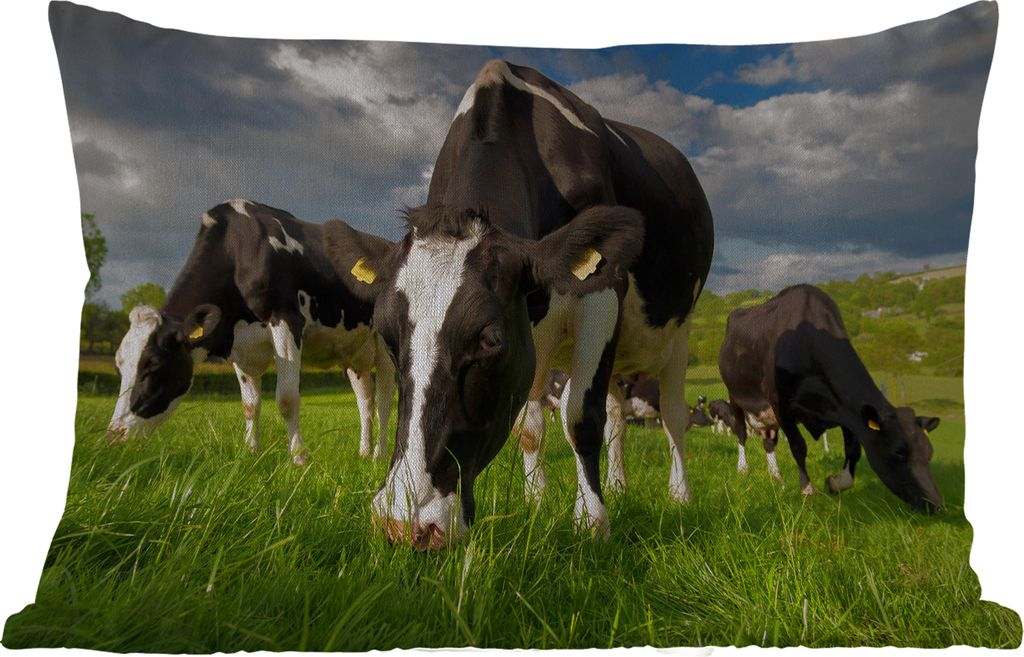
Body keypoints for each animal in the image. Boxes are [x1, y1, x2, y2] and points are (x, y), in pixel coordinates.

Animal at [107, 200, 395, 464]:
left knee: (384, 400)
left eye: (154, 365)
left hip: (384, 346)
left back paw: (379, 456)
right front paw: (251, 453)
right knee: (365, 400)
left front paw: (299, 459)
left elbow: (287, 399)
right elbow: (250, 405)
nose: (115, 434)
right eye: (119, 367)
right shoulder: (240, 347)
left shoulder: (287, 322)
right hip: (354, 352)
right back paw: (364, 452)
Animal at [323, 60, 713, 548]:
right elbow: (530, 429)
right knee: (617, 417)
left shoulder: (603, 291)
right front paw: (538, 500)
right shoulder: (530, 339)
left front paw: (592, 523)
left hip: (680, 330)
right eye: (388, 336)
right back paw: (620, 485)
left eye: (489, 340)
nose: (404, 522)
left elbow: (580, 417)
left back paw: (681, 495)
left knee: (674, 416)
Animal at [718, 284, 941, 511]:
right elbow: (798, 446)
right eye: (898, 452)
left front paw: (837, 483)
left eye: (929, 453)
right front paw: (807, 489)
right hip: (735, 397)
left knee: (769, 442)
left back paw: (777, 478)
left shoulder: (846, 410)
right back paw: (743, 468)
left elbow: (853, 450)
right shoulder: (780, 404)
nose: (936, 505)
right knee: (741, 433)